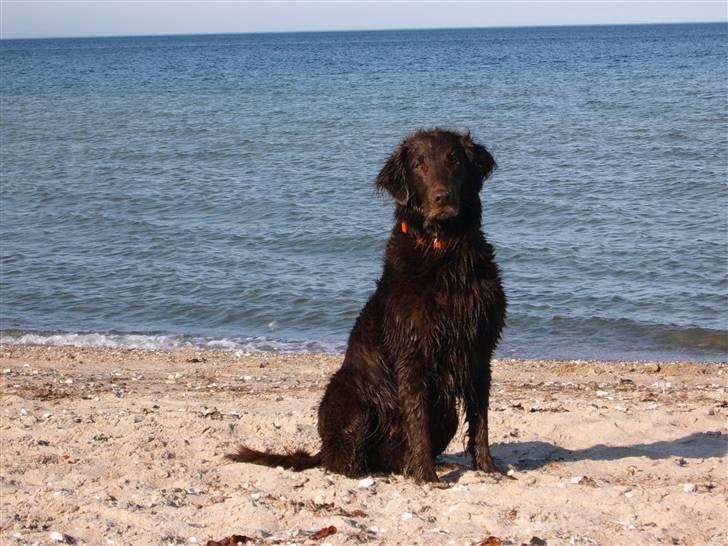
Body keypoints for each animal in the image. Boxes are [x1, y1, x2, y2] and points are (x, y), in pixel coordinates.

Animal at [228, 129, 506, 480]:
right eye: (419, 165)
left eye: (454, 160)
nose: (442, 198)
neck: (444, 252)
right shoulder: (412, 353)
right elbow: (417, 420)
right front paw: (427, 476)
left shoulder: (480, 348)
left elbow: (480, 419)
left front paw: (488, 467)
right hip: (353, 400)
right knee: (343, 461)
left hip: (445, 415)